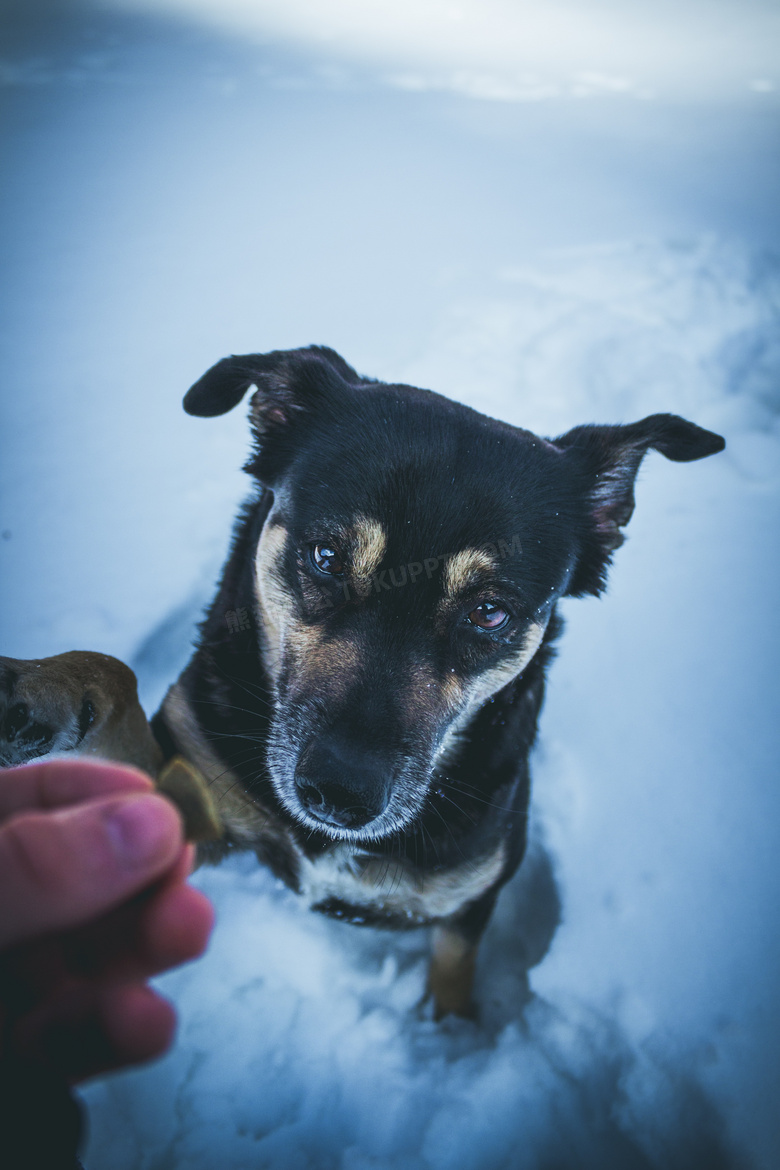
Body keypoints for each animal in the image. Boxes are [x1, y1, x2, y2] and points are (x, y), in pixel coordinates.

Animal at [0, 343, 725, 1015]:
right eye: (325, 556)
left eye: (490, 611)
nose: (339, 794)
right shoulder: (185, 792)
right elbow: (113, 676)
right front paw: (42, 695)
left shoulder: (471, 896)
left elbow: (454, 973)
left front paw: (453, 1034)